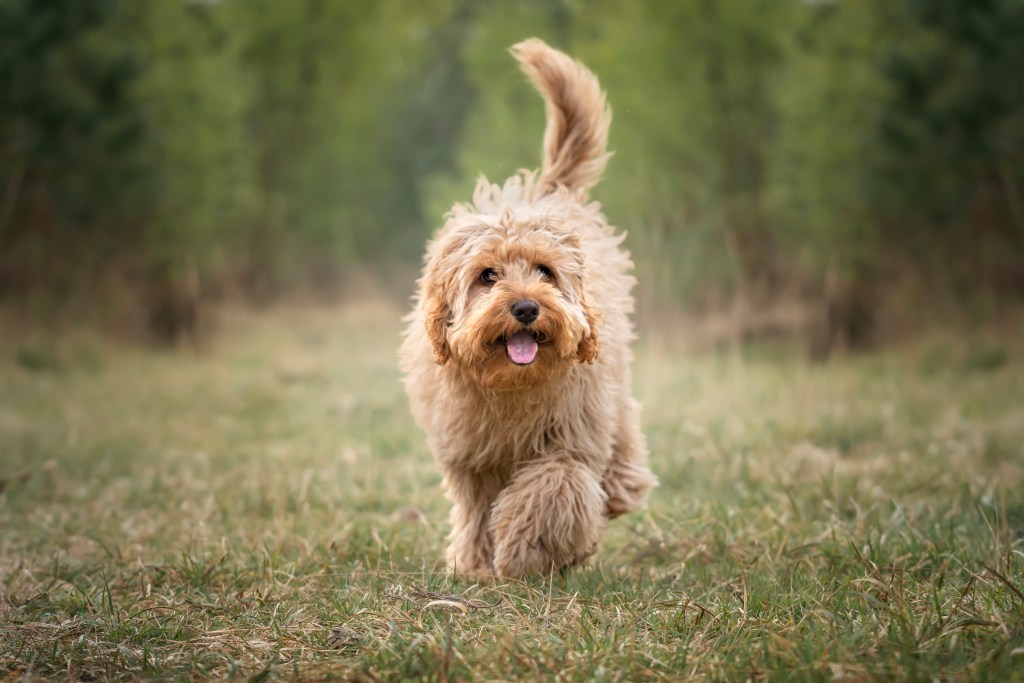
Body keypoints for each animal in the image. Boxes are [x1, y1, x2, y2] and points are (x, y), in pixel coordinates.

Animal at [399, 37, 655, 577]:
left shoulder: (571, 434)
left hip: (610, 381)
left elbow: (552, 490)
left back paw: (621, 486)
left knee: (621, 435)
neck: (511, 387)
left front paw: (525, 551)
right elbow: (477, 509)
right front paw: (476, 565)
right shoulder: (470, 455)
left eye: (544, 271)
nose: (524, 308)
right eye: (487, 276)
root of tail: (547, 189)